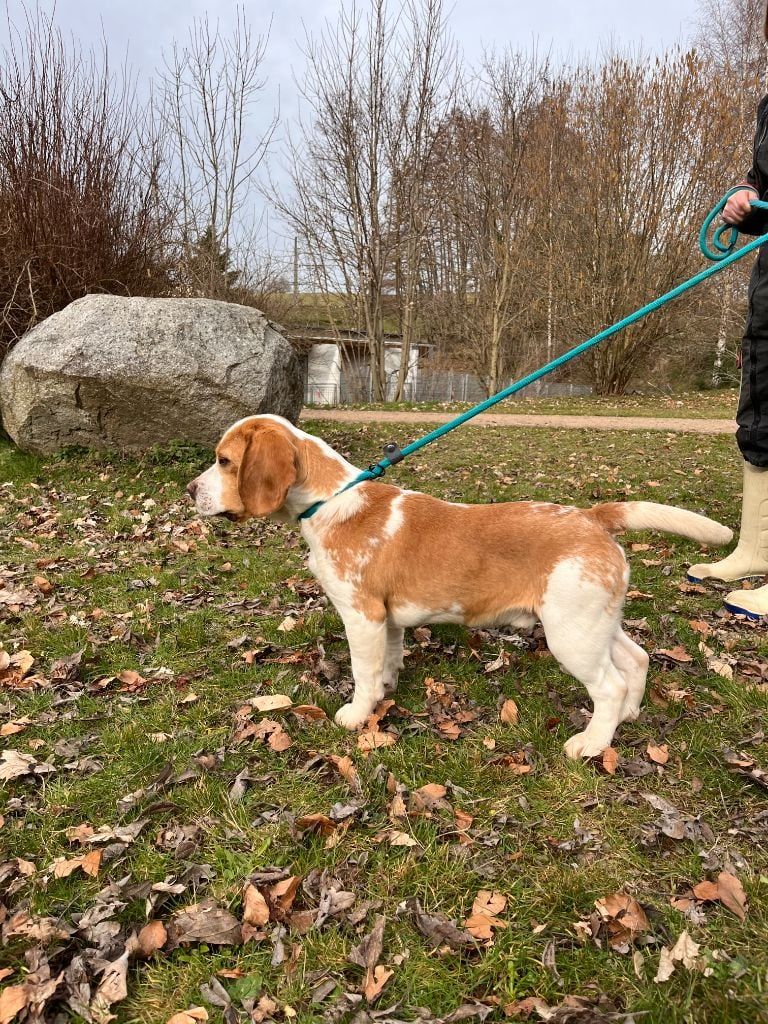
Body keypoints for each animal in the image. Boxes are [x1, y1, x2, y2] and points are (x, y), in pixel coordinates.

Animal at [186, 415, 733, 761]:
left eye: (224, 461)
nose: (189, 491)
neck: (331, 501)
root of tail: (593, 516)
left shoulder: (361, 615)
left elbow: (362, 673)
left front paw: (357, 714)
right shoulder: (386, 619)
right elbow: (387, 662)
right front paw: (385, 693)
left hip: (571, 635)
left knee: (610, 685)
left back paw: (593, 744)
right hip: (593, 623)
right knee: (636, 660)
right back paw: (629, 716)